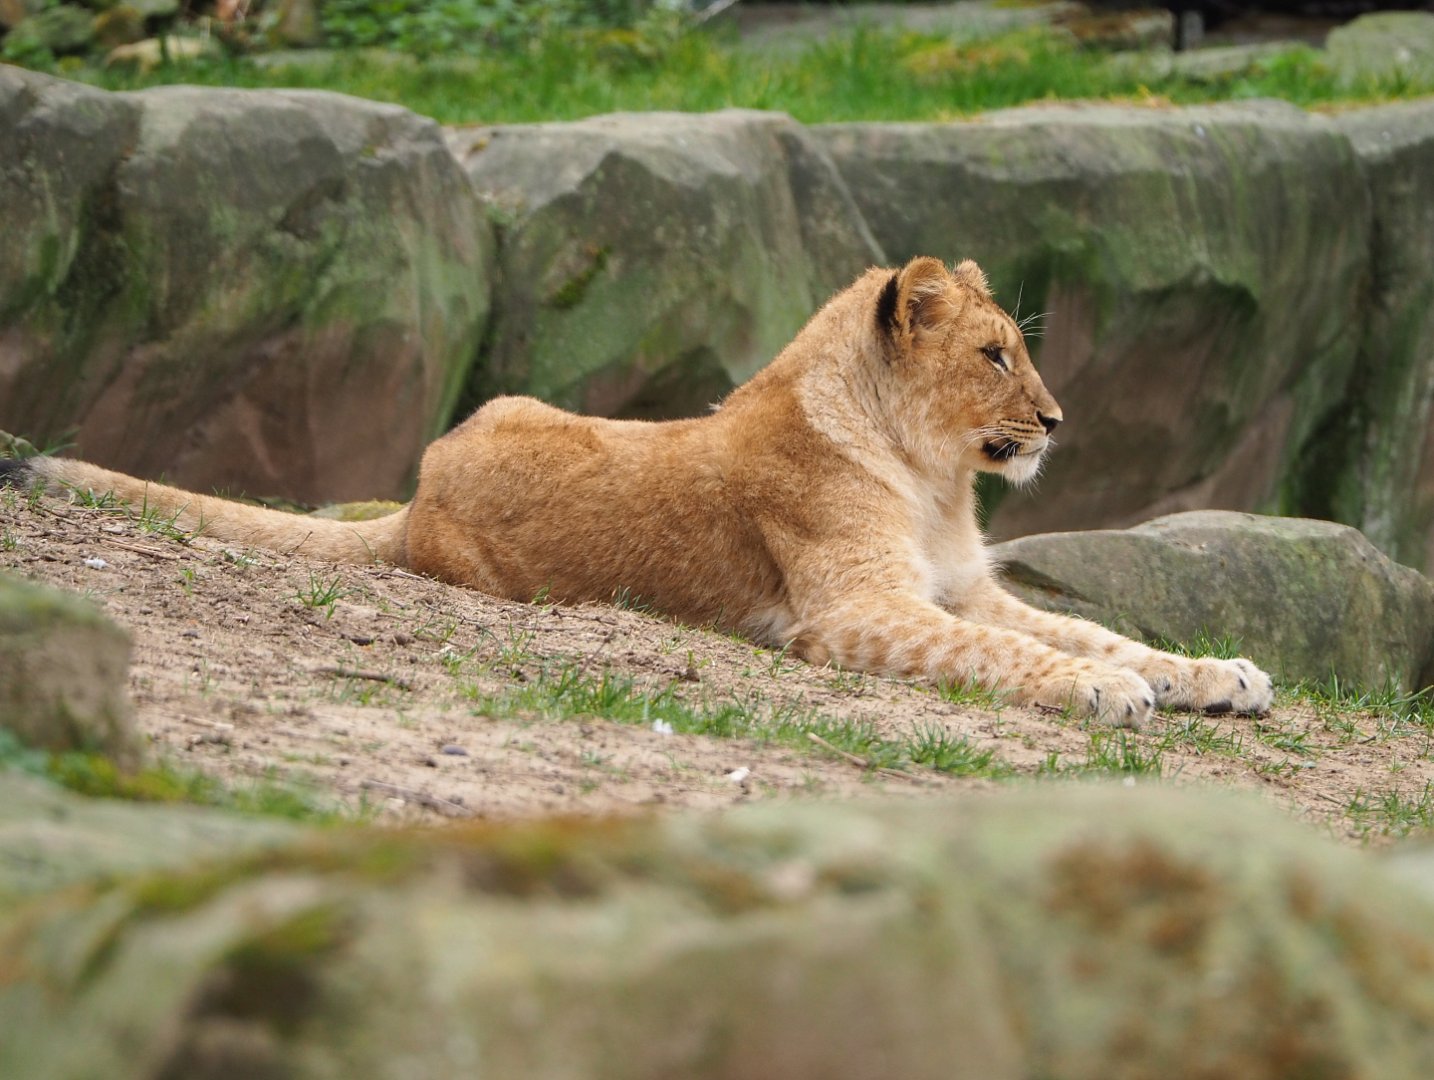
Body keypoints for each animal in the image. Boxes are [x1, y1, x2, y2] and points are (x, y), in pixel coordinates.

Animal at [1, 256, 1272, 725]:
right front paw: (1107, 694)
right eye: (996, 355)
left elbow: (1091, 626)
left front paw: (1218, 673)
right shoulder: (855, 610)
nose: (1056, 424)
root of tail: (415, 500)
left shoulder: (965, 586)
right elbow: (1020, 653)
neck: (931, 479)